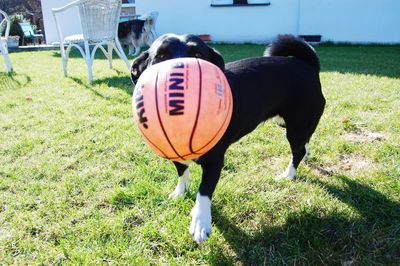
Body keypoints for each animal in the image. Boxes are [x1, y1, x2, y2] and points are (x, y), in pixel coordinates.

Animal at [130, 33, 324, 243]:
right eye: (160, 56)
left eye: (198, 55)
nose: (178, 72)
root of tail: (308, 66)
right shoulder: (174, 153)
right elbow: (182, 173)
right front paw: (180, 193)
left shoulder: (214, 162)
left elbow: (204, 191)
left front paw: (200, 222)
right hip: (287, 123)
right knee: (305, 144)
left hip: (296, 126)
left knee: (297, 150)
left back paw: (288, 174)